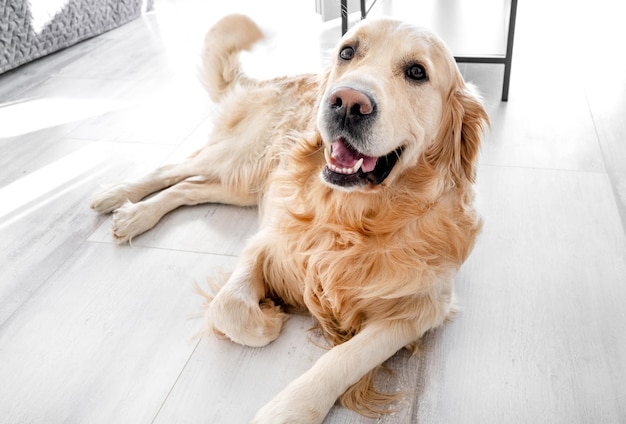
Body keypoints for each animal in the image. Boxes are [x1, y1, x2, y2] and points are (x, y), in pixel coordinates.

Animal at [89, 14, 488, 424]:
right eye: (347, 52)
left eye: (416, 72)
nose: (348, 102)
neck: (350, 219)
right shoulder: (266, 244)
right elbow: (229, 308)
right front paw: (270, 316)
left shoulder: (421, 308)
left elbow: (345, 358)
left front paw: (287, 409)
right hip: (241, 159)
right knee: (175, 168)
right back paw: (120, 199)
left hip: (243, 185)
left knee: (188, 187)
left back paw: (133, 215)